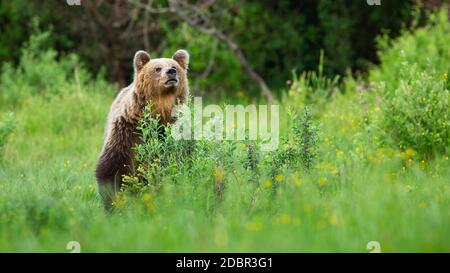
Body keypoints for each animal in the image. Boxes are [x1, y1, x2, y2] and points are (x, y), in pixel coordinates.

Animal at [96, 50, 189, 209]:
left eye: (174, 66)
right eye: (157, 68)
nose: (171, 72)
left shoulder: (174, 133)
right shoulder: (127, 131)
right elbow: (111, 168)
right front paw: (113, 204)